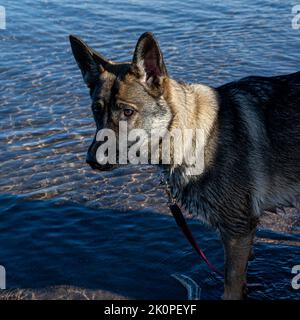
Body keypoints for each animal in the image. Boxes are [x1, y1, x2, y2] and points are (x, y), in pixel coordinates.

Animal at [69, 32, 300, 300]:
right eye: (96, 110)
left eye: (127, 112)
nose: (91, 160)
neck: (193, 134)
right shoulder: (240, 236)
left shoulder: (237, 232)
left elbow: (231, 285)